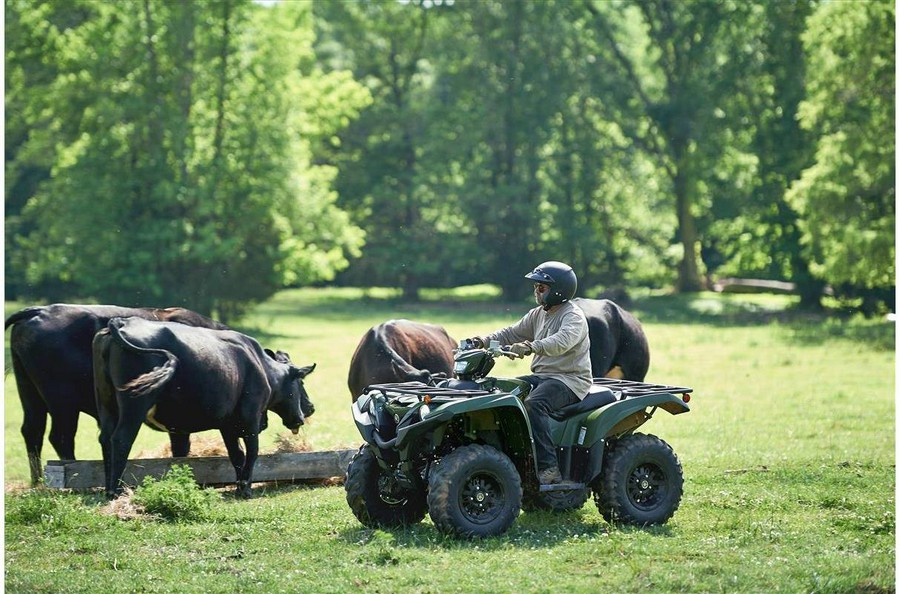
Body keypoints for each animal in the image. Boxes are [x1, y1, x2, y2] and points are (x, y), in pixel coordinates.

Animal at [4, 302, 229, 484]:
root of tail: (40, 310)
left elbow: (180, 447)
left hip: (30, 394)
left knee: (33, 431)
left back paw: (38, 482)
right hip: (62, 402)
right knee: (60, 436)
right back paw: (72, 471)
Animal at [92, 316, 316, 498]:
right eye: (301, 382)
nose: (310, 408)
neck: (260, 365)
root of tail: (123, 321)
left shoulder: (228, 424)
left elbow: (236, 454)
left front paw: (239, 487)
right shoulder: (250, 418)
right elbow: (252, 453)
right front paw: (246, 489)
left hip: (106, 403)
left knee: (105, 439)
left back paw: (108, 488)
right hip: (134, 406)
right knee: (121, 439)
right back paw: (116, 491)